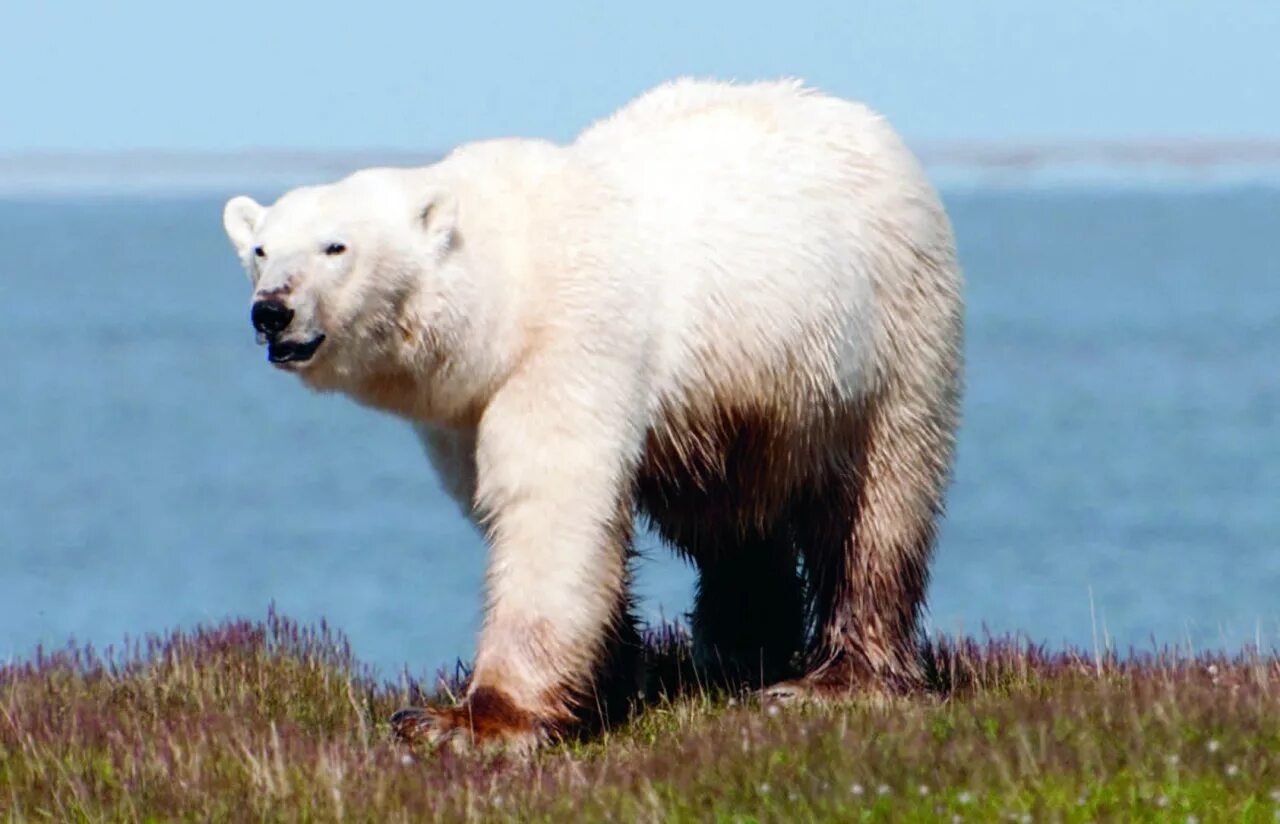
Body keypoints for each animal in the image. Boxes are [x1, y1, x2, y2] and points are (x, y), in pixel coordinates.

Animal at [220, 79, 962, 752]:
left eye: (335, 246)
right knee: (726, 511)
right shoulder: (465, 410)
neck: (508, 283)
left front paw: (470, 722)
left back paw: (836, 679)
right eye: (261, 249)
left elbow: (550, 505)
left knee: (877, 504)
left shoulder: (570, 338)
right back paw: (737, 647)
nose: (271, 311)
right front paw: (613, 679)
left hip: (889, 332)